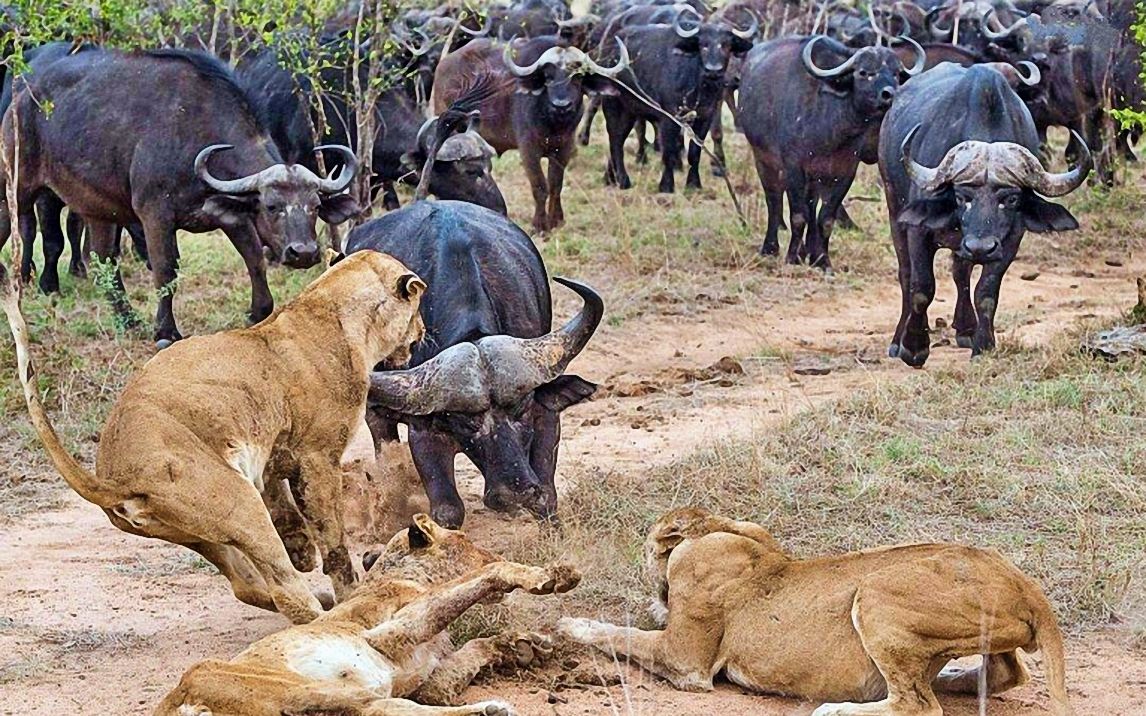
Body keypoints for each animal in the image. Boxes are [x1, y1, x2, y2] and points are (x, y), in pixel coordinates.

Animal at [0, 47, 357, 345]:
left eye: (315, 206)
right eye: (272, 206)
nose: (304, 253)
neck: (194, 134)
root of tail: (21, 99)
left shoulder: (232, 215)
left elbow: (255, 259)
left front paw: (258, 311)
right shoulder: (155, 215)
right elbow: (165, 269)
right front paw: (165, 331)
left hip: (99, 210)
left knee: (104, 260)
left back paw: (128, 320)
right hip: (17, 190)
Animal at [346, 199, 600, 524]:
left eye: (520, 408)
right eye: (466, 422)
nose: (514, 493)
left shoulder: (546, 414)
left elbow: (546, 497)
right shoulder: (425, 432)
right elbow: (448, 510)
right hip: (377, 415)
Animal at [738, 34, 925, 268]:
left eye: (896, 73)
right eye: (863, 72)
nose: (889, 94)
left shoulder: (844, 172)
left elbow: (825, 219)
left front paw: (822, 260)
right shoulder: (793, 168)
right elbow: (797, 215)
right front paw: (791, 258)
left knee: (810, 206)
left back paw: (808, 251)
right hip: (763, 159)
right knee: (774, 200)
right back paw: (771, 248)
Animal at [875, 62, 1090, 366]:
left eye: (1010, 199)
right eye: (961, 197)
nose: (980, 247)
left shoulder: (1010, 240)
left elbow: (986, 292)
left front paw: (984, 344)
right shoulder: (918, 230)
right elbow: (921, 288)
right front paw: (914, 347)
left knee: (960, 272)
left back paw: (966, 329)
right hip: (895, 209)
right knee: (906, 275)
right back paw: (897, 339)